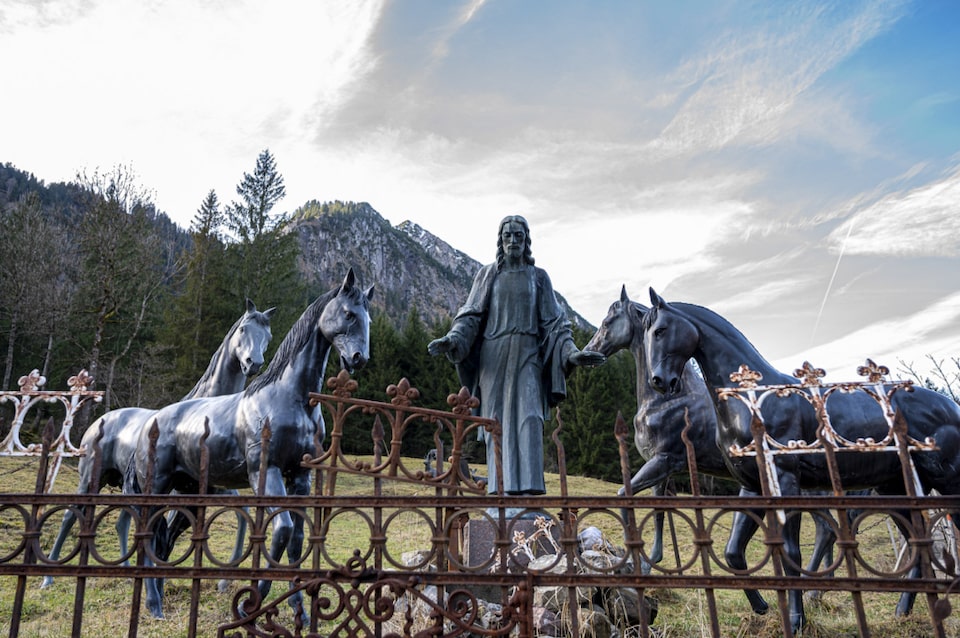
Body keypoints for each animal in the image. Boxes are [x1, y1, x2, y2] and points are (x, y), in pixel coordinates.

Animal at [41, 300, 274, 592]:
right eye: (243, 329)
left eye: (268, 336)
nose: (253, 363)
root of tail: (99, 423)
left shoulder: (216, 488)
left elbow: (242, 514)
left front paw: (222, 581)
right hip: (90, 479)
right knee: (69, 516)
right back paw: (48, 577)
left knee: (121, 522)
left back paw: (127, 571)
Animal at [124, 270, 372, 620]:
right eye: (349, 313)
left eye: (369, 318)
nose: (358, 358)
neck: (289, 399)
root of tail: (151, 421)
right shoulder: (265, 473)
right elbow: (281, 531)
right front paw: (247, 605)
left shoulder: (300, 477)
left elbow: (296, 538)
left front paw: (300, 611)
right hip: (156, 488)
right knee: (148, 535)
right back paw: (154, 606)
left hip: (187, 490)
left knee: (162, 538)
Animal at [640, 292, 960, 636]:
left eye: (660, 330)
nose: (660, 381)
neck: (752, 401)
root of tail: (951, 406)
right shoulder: (753, 487)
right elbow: (733, 551)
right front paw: (763, 608)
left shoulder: (786, 481)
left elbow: (790, 553)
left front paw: (795, 620)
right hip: (896, 490)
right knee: (919, 542)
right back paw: (905, 611)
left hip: (946, 482)